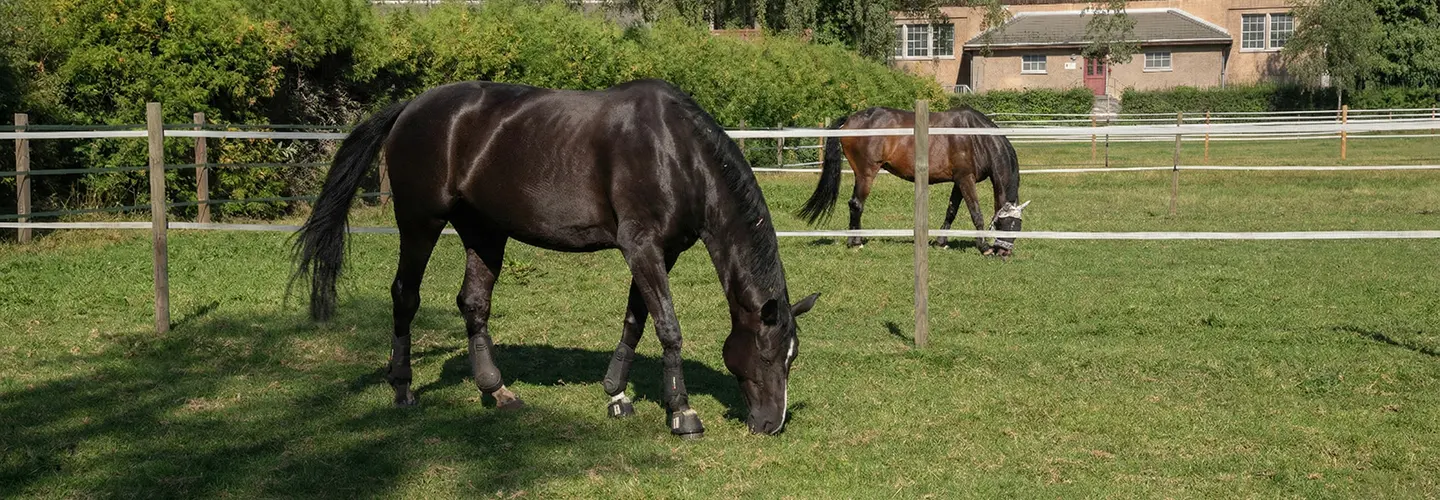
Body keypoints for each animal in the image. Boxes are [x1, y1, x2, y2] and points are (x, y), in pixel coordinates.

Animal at [291, 79, 819, 439]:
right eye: (768, 354)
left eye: (793, 357)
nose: (771, 423)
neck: (676, 154)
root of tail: (410, 107)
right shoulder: (643, 246)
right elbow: (667, 325)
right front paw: (682, 412)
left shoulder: (658, 252)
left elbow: (636, 319)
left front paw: (618, 395)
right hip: (420, 223)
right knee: (405, 296)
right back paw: (402, 389)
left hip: (484, 232)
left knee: (473, 303)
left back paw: (496, 390)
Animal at [796, 105, 1026, 256]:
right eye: (1008, 224)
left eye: (1019, 227)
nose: (1004, 253)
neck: (976, 137)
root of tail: (850, 120)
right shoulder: (965, 179)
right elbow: (975, 212)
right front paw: (984, 247)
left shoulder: (958, 181)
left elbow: (951, 211)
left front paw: (941, 242)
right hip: (866, 173)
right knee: (856, 204)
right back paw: (856, 243)